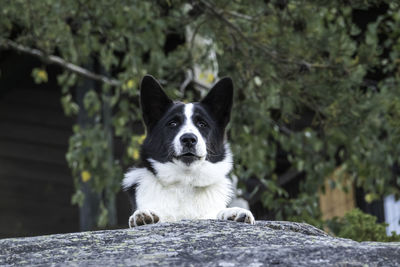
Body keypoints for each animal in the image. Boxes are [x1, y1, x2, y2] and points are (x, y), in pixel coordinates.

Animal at [122, 75, 255, 228]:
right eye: (172, 123)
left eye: (202, 124)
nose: (189, 139)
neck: (185, 183)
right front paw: (142, 216)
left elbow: (215, 213)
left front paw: (233, 213)